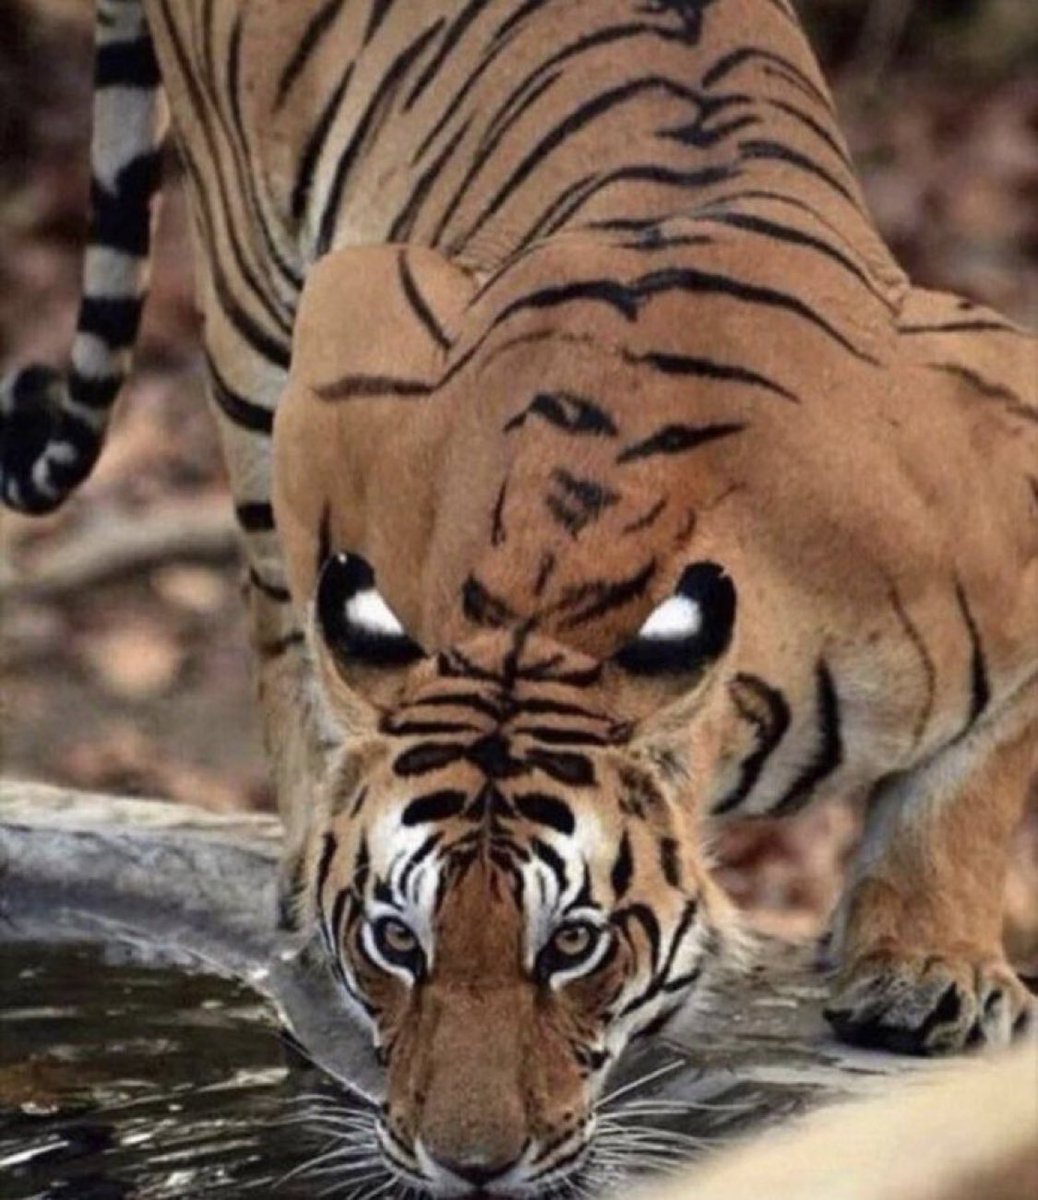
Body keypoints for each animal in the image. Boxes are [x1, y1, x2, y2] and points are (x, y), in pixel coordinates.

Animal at [1, 0, 1036, 1195]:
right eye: (398, 940)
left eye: (574, 944)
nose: (471, 1166)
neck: (555, 610)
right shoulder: (353, 335)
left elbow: (968, 789)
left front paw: (930, 965)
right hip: (255, 313)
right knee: (272, 617)